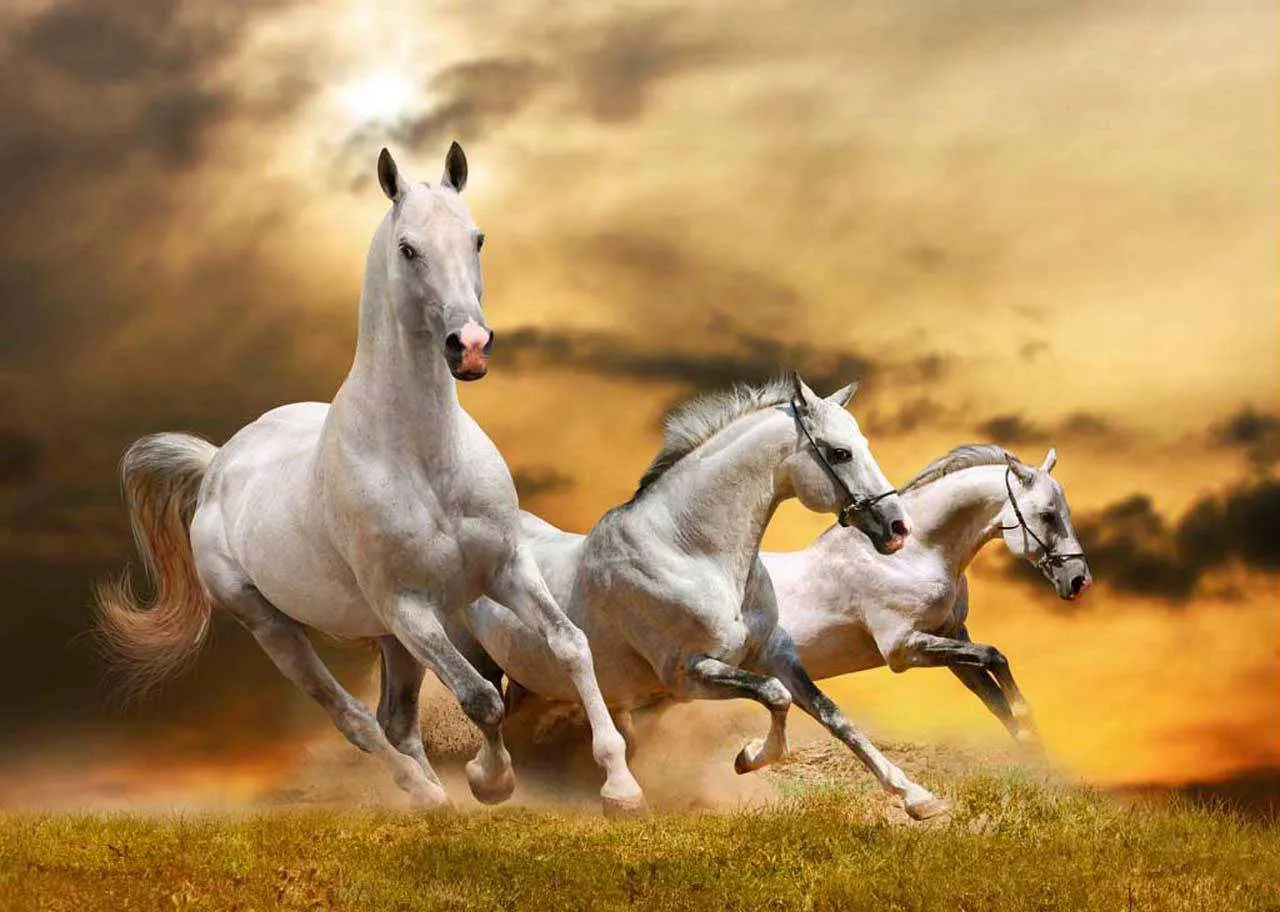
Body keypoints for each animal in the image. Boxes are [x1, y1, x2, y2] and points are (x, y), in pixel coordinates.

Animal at [94, 144, 644, 815]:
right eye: (408, 248)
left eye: (477, 238)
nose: (470, 346)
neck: (426, 462)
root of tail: (219, 461)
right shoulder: (409, 606)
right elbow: (482, 697)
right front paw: (491, 782)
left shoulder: (504, 571)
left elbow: (569, 645)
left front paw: (620, 785)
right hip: (277, 626)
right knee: (354, 719)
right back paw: (426, 794)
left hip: (389, 638)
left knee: (395, 720)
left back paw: (433, 795)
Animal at [465, 374, 951, 820]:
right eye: (839, 453)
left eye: (862, 444)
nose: (898, 528)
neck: (692, 551)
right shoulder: (689, 673)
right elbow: (775, 696)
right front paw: (749, 757)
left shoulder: (773, 652)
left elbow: (833, 715)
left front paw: (918, 798)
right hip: (479, 658)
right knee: (486, 709)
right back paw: (494, 781)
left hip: (530, 680)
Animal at [765, 445, 1091, 744]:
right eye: (1047, 515)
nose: (1079, 580)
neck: (912, 555)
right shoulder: (903, 647)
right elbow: (993, 656)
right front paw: (1025, 717)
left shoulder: (951, 635)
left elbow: (995, 699)